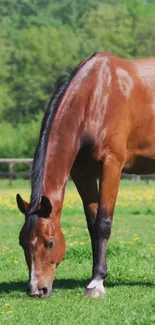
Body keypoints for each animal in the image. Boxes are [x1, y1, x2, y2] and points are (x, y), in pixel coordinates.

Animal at [16, 52, 155, 298]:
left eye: (50, 242)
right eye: (22, 243)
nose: (37, 290)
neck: (97, 96)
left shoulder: (111, 165)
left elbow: (103, 223)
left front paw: (96, 283)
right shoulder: (82, 173)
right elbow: (92, 224)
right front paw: (97, 274)